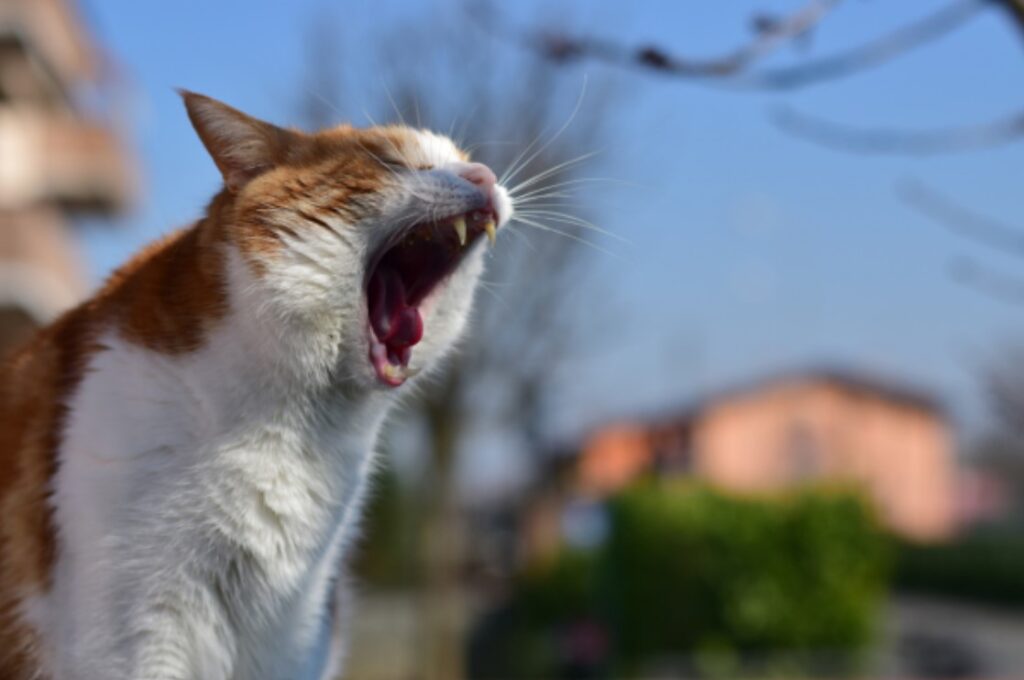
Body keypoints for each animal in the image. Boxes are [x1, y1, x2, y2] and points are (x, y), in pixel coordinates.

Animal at [0, 91, 512, 680]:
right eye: (392, 160)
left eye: (464, 159)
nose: (483, 175)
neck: (295, 431)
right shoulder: (135, 635)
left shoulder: (293, 639)